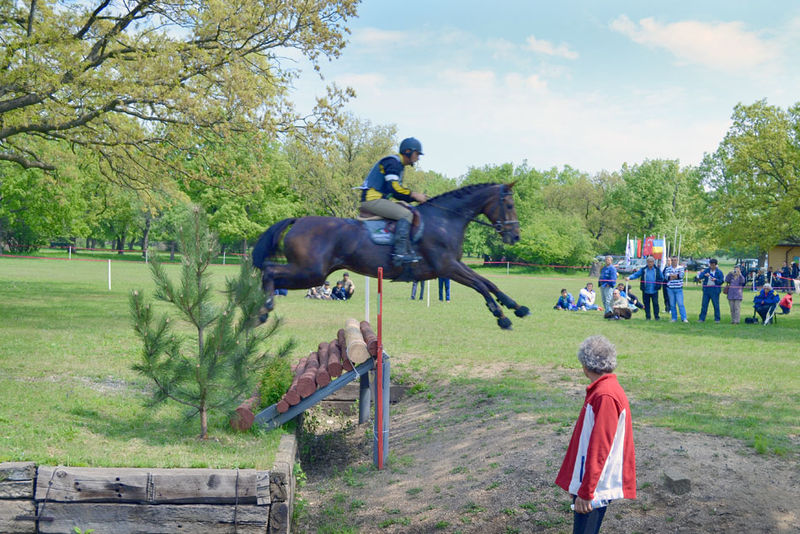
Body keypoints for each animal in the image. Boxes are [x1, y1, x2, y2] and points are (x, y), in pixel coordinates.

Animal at [252, 182, 530, 329]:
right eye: (509, 205)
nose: (515, 236)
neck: (445, 219)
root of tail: (299, 220)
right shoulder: (448, 267)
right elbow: (480, 286)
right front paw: (501, 316)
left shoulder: (455, 265)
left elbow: (488, 282)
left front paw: (516, 306)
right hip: (310, 272)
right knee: (270, 272)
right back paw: (264, 309)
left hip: (311, 273)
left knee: (271, 272)